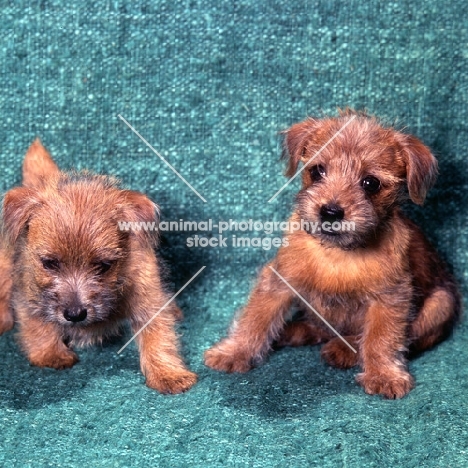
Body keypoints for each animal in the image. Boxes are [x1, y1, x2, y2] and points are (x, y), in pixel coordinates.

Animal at [0, 140, 197, 394]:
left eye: (103, 266)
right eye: (49, 263)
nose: (74, 314)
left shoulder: (147, 292)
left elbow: (158, 334)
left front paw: (168, 373)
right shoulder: (29, 291)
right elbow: (36, 324)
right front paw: (50, 353)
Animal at [205, 109, 460, 398]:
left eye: (370, 183)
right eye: (317, 171)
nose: (330, 212)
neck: (337, 254)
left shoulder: (391, 296)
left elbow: (381, 337)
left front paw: (383, 374)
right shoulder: (279, 280)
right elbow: (257, 317)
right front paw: (235, 351)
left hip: (441, 303)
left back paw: (344, 349)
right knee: (317, 328)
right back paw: (293, 331)